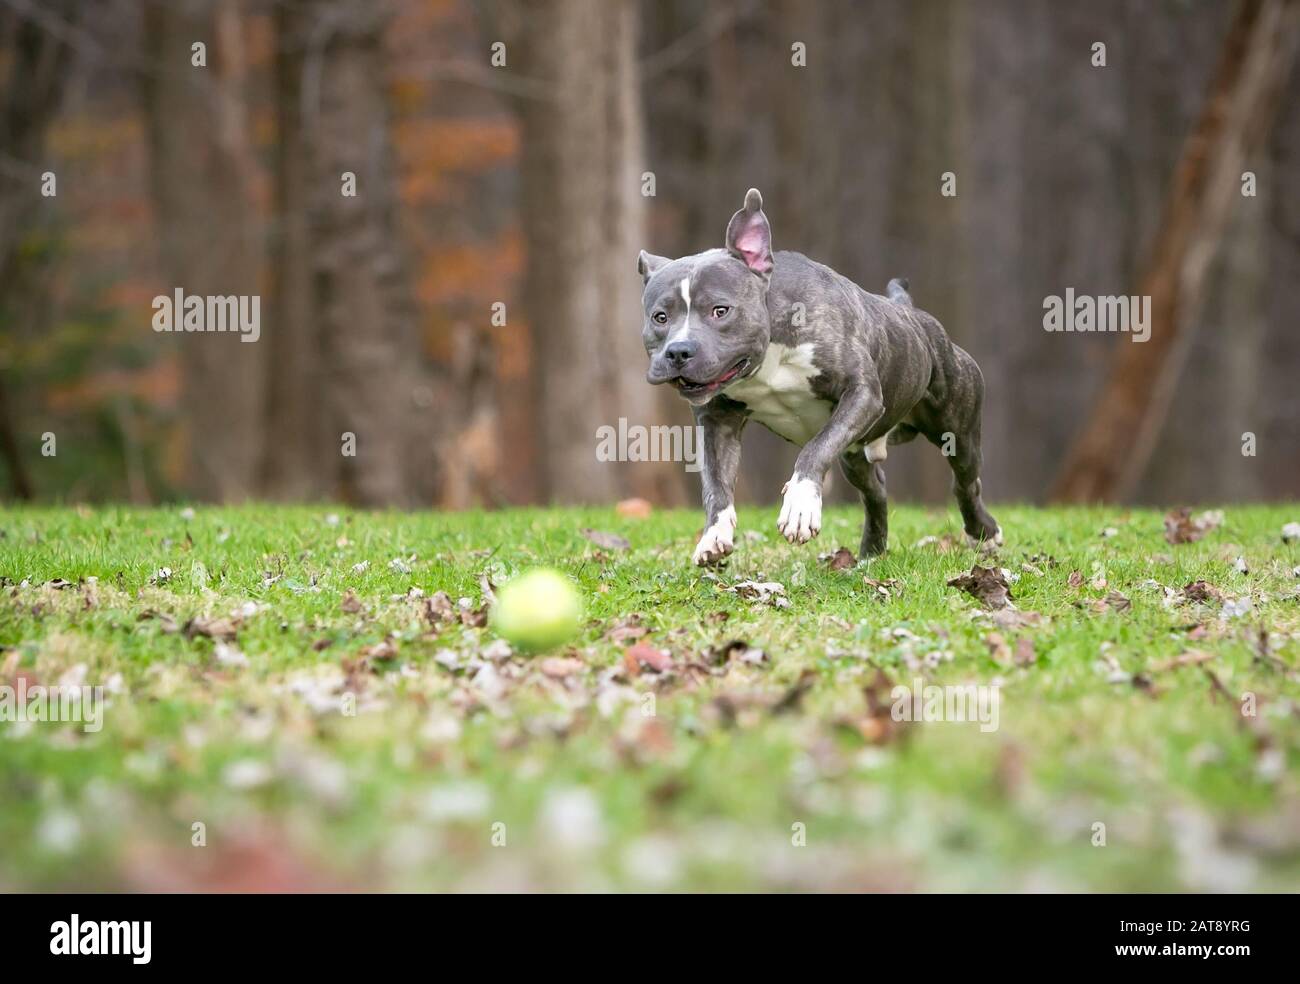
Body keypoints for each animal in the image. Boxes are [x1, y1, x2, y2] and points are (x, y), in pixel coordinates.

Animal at [634, 188, 998, 564]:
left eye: (720, 310)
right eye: (660, 317)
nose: (678, 352)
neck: (768, 355)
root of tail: (911, 312)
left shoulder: (862, 394)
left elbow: (814, 449)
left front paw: (800, 505)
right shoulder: (717, 421)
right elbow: (715, 484)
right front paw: (714, 535)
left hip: (957, 432)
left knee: (965, 482)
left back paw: (983, 534)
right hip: (856, 452)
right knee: (876, 491)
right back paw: (870, 554)